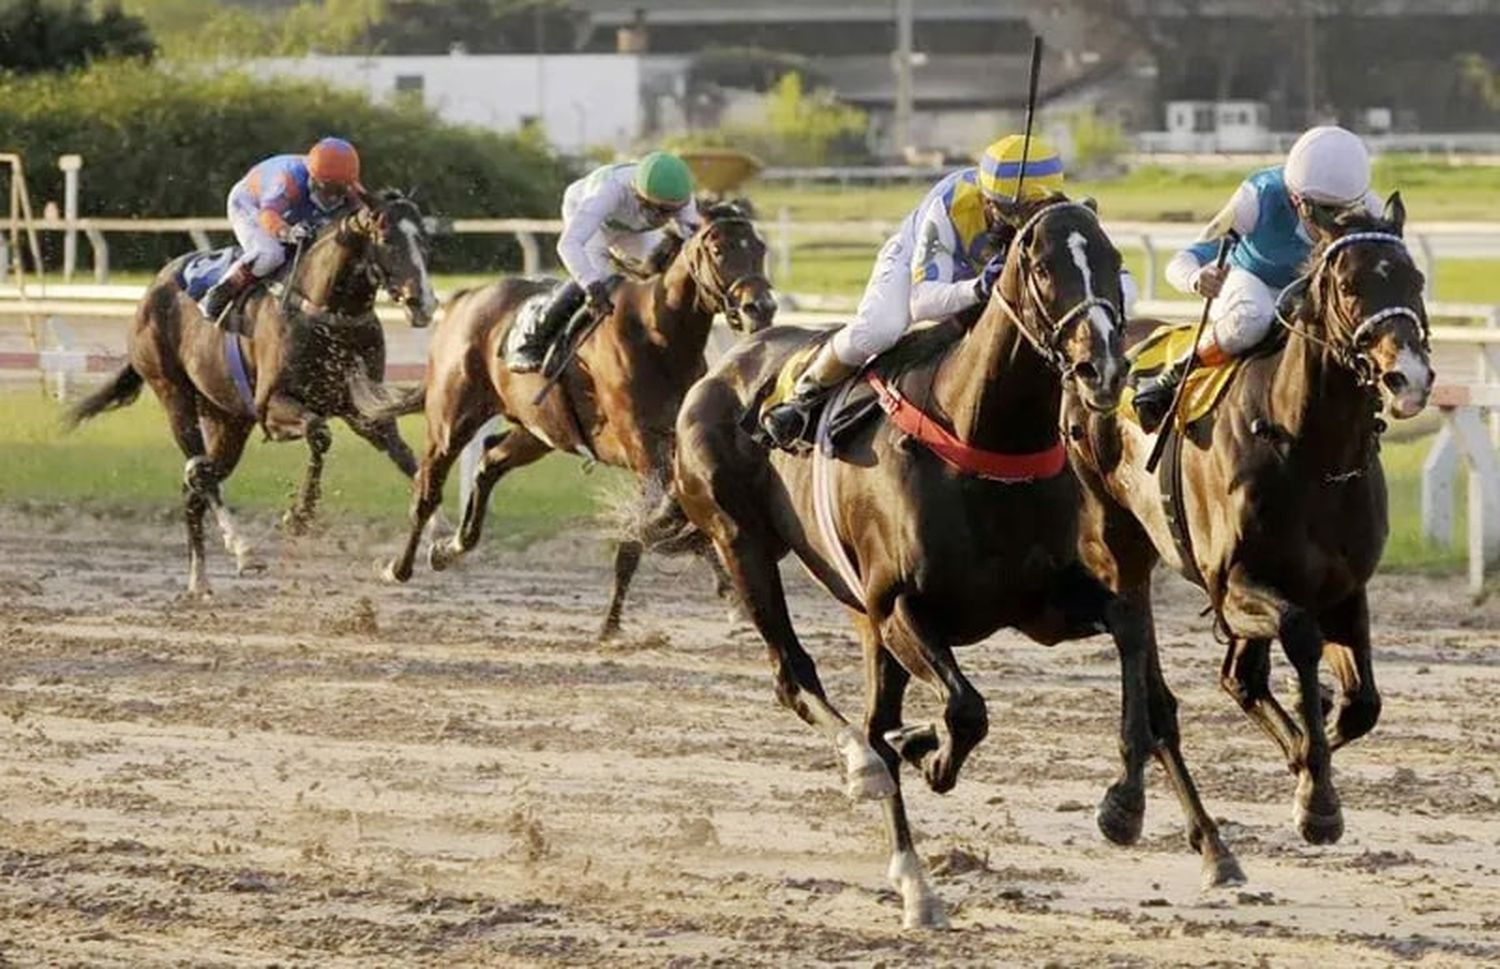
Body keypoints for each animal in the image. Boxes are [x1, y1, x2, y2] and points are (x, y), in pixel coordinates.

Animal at [69, 189, 438, 597]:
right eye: (387, 239)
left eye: (425, 241)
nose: (424, 303)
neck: (325, 309)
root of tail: (151, 290)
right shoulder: (271, 408)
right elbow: (319, 433)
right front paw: (300, 515)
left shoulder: (360, 411)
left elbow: (405, 457)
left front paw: (439, 539)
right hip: (174, 393)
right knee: (200, 474)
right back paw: (242, 551)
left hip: (227, 419)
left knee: (196, 484)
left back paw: (199, 580)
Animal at [369, 202, 780, 642]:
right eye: (718, 250)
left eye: (759, 247)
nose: (761, 308)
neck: (659, 335)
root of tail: (465, 298)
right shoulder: (645, 452)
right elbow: (655, 529)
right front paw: (613, 622)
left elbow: (669, 521)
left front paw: (728, 597)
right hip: (452, 418)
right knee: (427, 486)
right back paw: (399, 567)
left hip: (539, 432)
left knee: (490, 460)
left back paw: (452, 548)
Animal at [669, 193, 1242, 930]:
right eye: (1042, 267)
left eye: (1113, 257)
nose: (1103, 370)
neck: (984, 437)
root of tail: (723, 368)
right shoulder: (901, 607)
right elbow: (967, 709)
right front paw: (928, 751)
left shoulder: (1050, 604)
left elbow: (1135, 664)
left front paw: (1124, 806)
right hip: (742, 544)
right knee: (797, 679)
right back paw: (871, 781)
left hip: (861, 615)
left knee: (874, 712)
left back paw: (913, 866)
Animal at [1068, 198, 1428, 852]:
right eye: (1348, 285)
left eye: (1414, 278)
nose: (1408, 377)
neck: (1311, 450)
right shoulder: (1235, 582)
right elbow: (1299, 637)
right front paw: (1316, 795)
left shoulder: (1343, 587)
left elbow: (1359, 704)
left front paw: (1310, 763)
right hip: (1119, 538)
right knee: (1140, 644)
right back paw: (1125, 799)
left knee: (1239, 677)